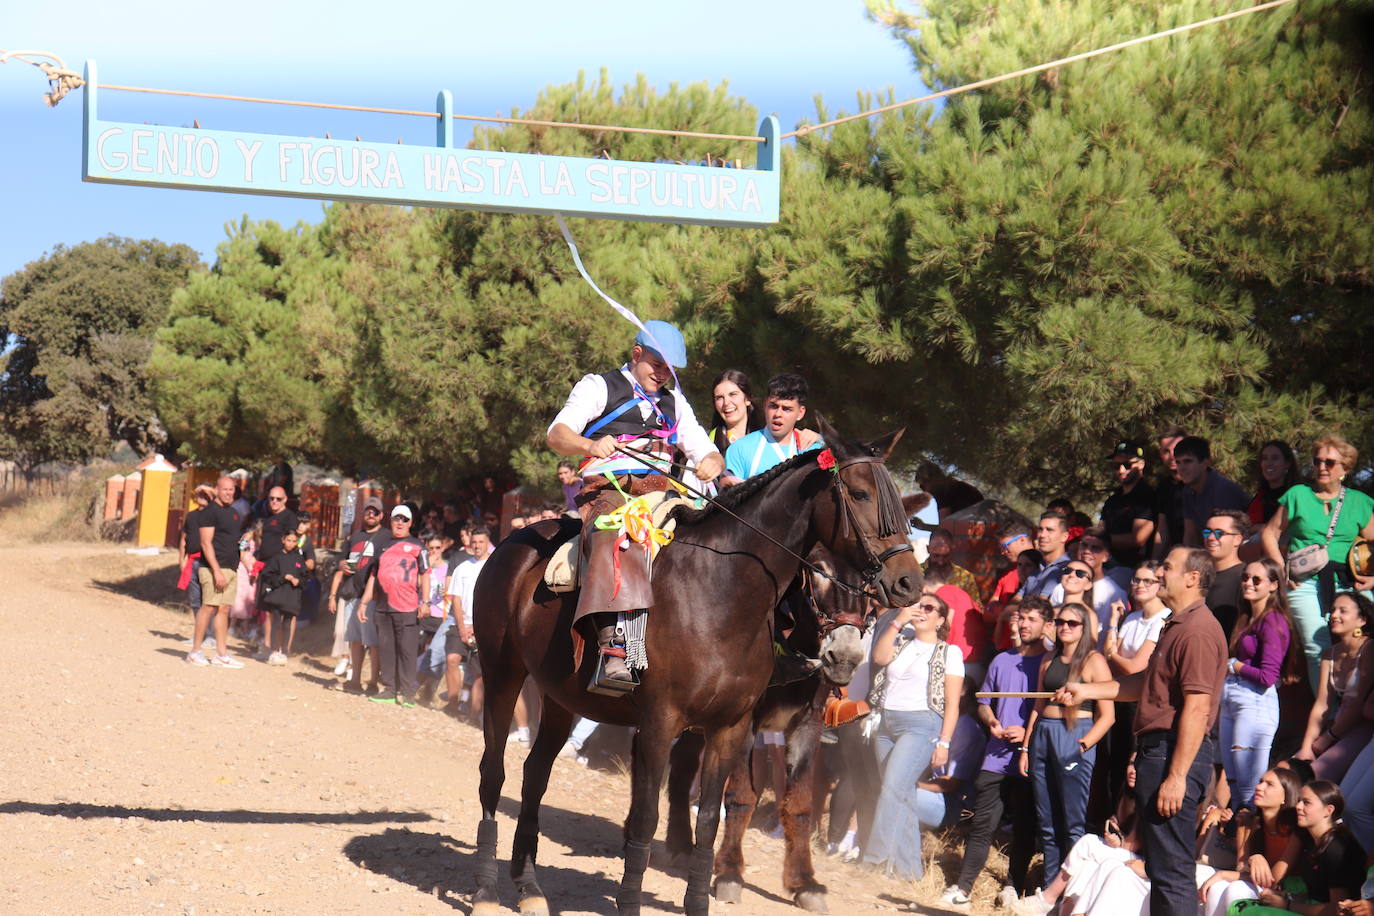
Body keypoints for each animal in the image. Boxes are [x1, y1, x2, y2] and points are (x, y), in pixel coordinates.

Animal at [467, 420, 917, 916]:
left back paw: (529, 886)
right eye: (859, 493)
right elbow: (652, 816)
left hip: (561, 697)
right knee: (494, 772)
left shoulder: (733, 727)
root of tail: (514, 543)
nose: (908, 581)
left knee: (534, 777)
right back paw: (486, 889)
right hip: (502, 673)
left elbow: (714, 820)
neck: (719, 592)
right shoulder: (661, 721)